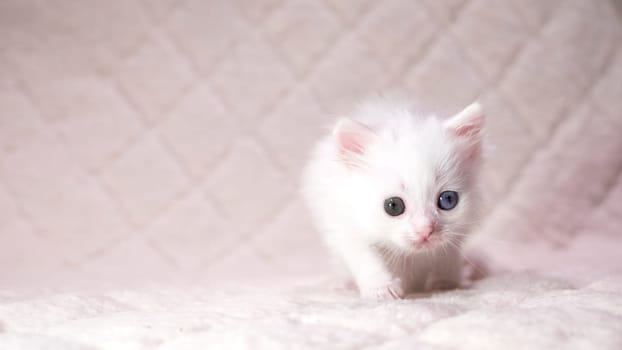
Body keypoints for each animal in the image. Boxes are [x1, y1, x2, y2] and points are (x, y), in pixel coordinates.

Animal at [302, 99, 488, 300]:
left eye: (447, 200)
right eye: (393, 206)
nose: (425, 230)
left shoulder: (457, 233)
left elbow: (447, 253)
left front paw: (446, 283)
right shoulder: (344, 224)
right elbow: (365, 258)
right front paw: (381, 288)